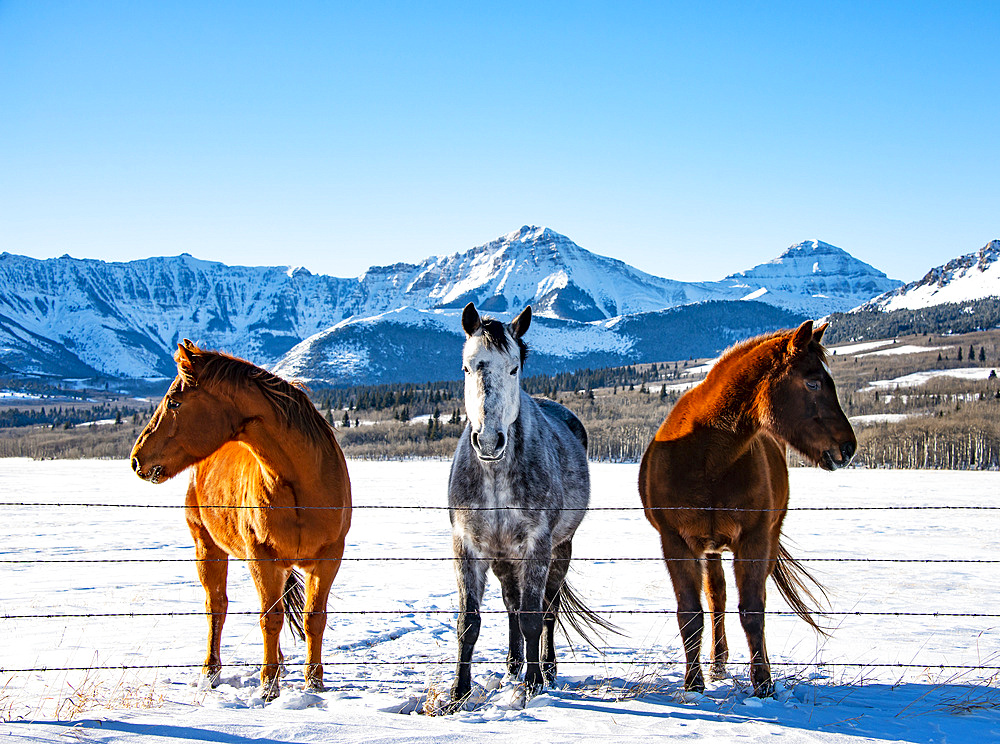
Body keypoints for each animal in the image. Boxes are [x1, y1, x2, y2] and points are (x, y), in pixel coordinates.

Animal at [130, 340, 352, 700]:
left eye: (174, 402)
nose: (137, 460)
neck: (302, 483)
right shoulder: (262, 556)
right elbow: (269, 619)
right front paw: (268, 687)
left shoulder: (328, 558)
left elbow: (313, 619)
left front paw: (314, 684)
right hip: (208, 548)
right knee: (216, 607)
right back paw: (210, 672)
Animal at [448, 300, 604, 708]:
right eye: (467, 366)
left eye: (514, 367)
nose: (489, 441)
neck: (495, 476)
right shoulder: (467, 547)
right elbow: (469, 622)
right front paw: (458, 693)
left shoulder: (537, 546)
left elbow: (534, 617)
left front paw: (533, 686)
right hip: (504, 559)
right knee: (511, 606)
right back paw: (512, 667)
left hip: (561, 550)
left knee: (547, 610)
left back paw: (545, 669)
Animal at [636, 320, 856, 696]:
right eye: (812, 381)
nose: (848, 447)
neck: (707, 456)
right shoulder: (676, 543)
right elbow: (690, 614)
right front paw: (693, 684)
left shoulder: (753, 540)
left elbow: (753, 612)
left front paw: (763, 683)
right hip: (710, 550)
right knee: (717, 597)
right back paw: (717, 663)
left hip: (763, 540)